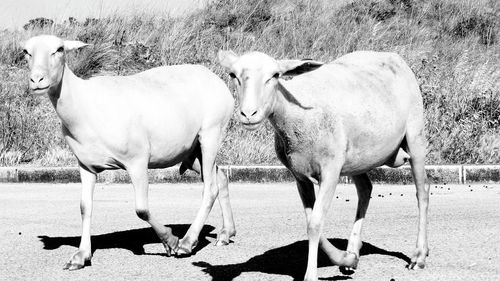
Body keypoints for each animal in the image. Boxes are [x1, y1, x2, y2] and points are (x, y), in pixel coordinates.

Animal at [21, 35, 236, 270]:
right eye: (26, 52)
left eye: (59, 49)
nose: (36, 80)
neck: (83, 104)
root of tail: (214, 77)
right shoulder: (85, 165)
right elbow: (85, 207)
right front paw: (80, 256)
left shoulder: (137, 159)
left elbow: (141, 209)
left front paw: (170, 240)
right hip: (190, 150)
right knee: (221, 177)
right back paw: (226, 233)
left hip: (212, 133)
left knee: (210, 188)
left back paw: (187, 242)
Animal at [219, 50, 430, 280]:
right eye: (233, 75)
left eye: (275, 75)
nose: (248, 114)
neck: (296, 115)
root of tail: (393, 56)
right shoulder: (299, 176)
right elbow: (311, 222)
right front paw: (346, 258)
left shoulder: (330, 170)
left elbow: (315, 224)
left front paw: (311, 275)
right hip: (356, 157)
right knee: (366, 189)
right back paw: (353, 251)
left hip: (415, 133)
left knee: (422, 192)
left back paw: (419, 255)